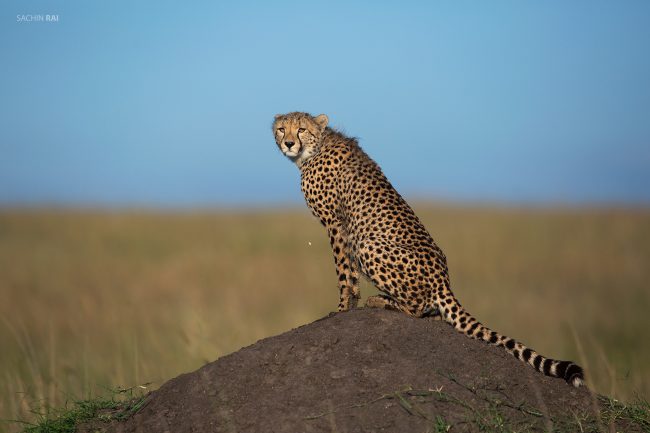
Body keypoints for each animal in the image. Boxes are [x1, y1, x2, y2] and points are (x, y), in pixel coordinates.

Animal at [272, 111, 584, 387]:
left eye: (301, 129)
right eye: (282, 129)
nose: (288, 143)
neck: (313, 150)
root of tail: (444, 278)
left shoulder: (336, 224)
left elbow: (344, 275)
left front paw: (342, 308)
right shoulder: (341, 228)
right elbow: (349, 275)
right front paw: (349, 305)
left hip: (368, 244)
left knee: (416, 309)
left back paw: (382, 301)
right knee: (432, 313)